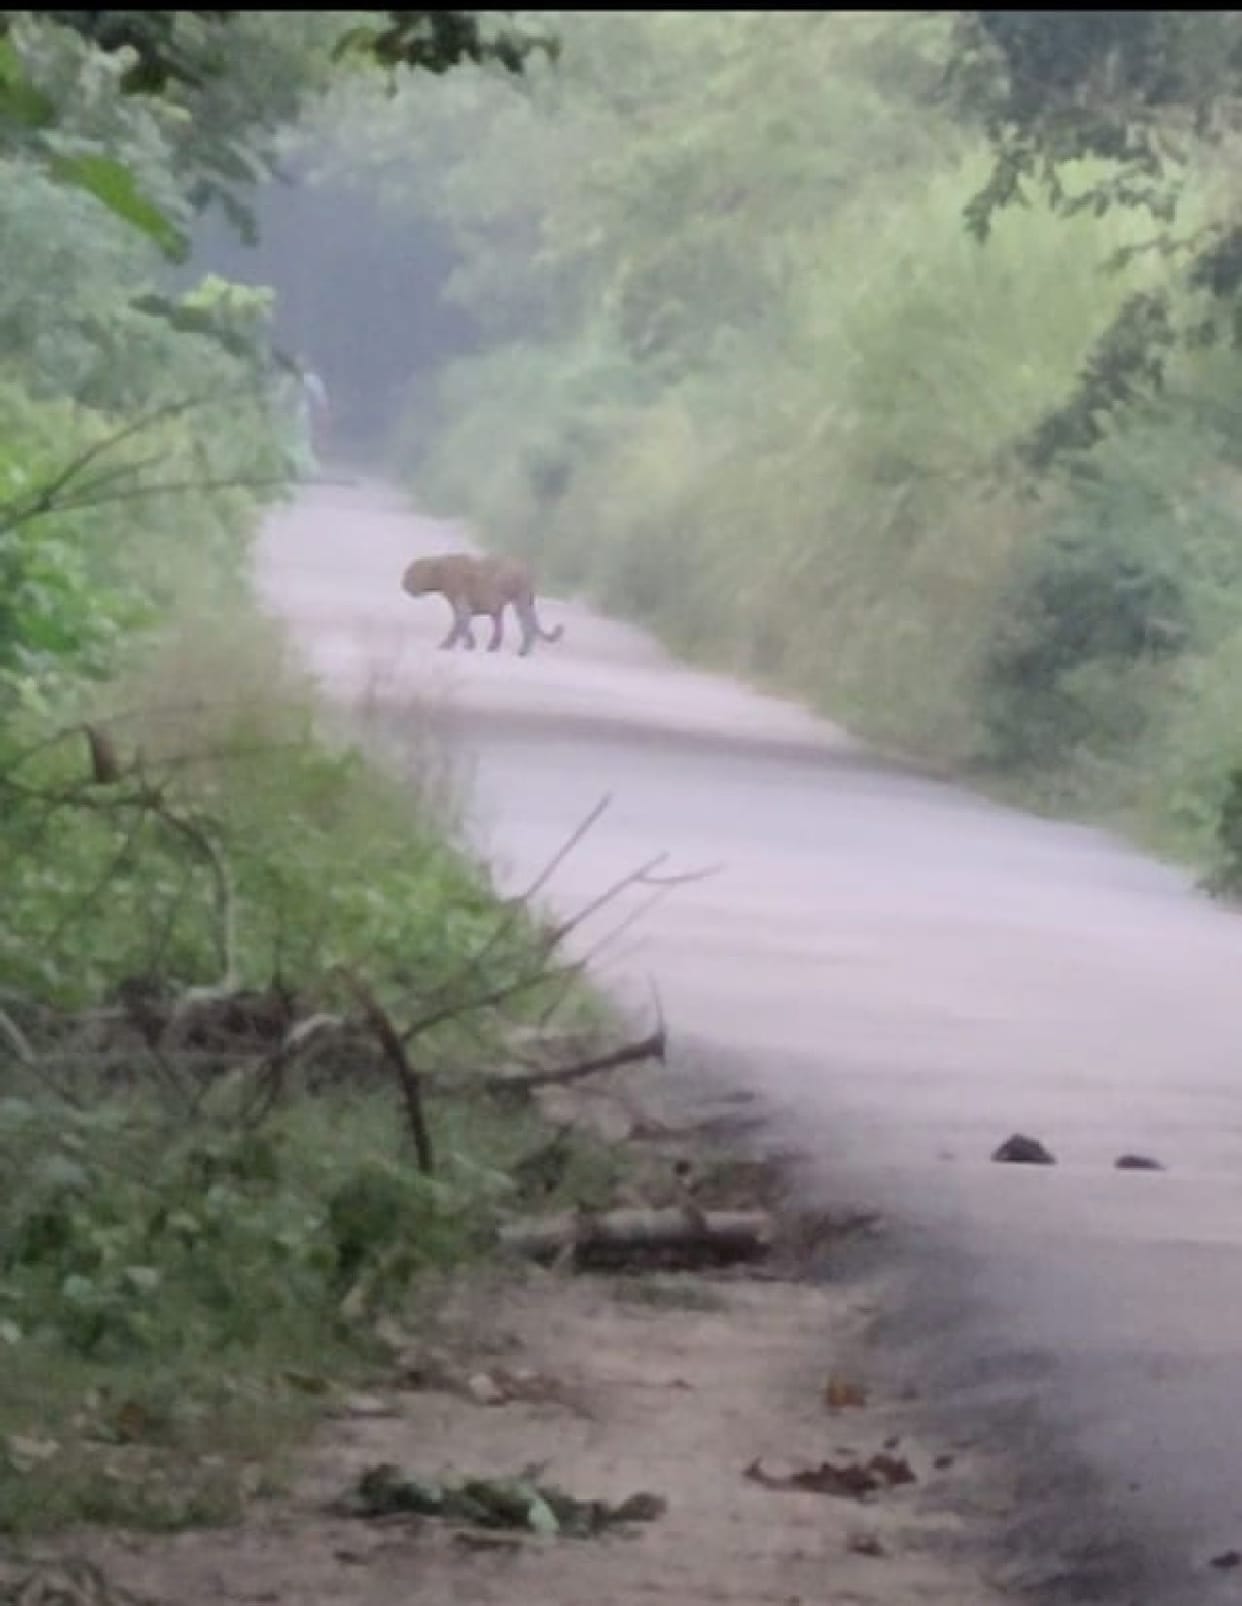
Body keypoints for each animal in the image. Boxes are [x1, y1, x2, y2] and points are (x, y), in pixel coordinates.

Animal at [400, 552, 565, 657]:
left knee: (526, 623)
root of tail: (528, 571)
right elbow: (463, 624)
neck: (439, 573)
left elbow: (460, 623)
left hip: (520, 599)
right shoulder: (461, 607)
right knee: (503, 625)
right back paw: (493, 647)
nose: (403, 583)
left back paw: (522, 651)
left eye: (411, 573)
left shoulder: (462, 604)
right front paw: (470, 644)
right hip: (509, 605)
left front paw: (446, 645)